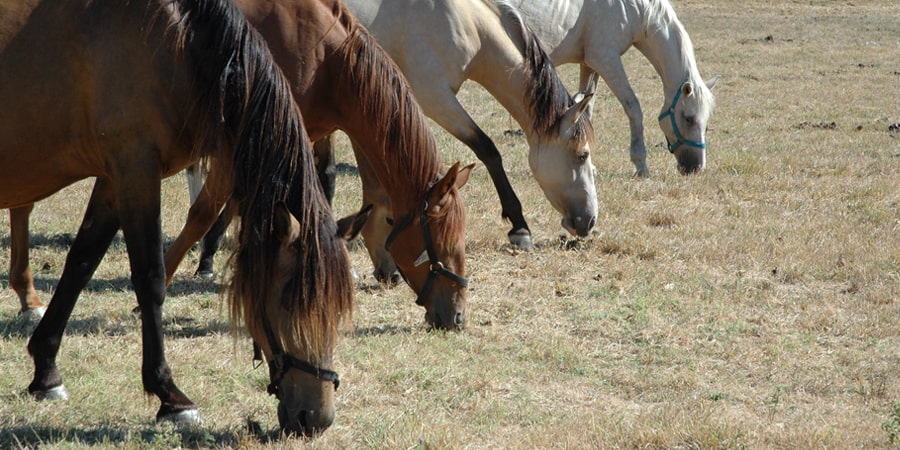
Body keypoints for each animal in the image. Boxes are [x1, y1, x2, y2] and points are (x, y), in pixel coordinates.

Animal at [0, 0, 360, 436]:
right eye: (290, 300)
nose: (316, 419)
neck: (178, 46)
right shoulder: (136, 168)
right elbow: (150, 279)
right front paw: (170, 396)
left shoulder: (113, 178)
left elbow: (81, 264)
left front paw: (46, 370)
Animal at [330, 0, 596, 264]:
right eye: (582, 155)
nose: (590, 220)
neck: (466, 22)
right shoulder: (435, 98)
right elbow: (487, 149)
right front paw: (520, 228)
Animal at [510, 0, 720, 176]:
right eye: (689, 118)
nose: (696, 168)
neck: (631, 8)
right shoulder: (605, 60)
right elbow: (633, 107)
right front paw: (641, 164)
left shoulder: (589, 65)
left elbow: (586, 111)